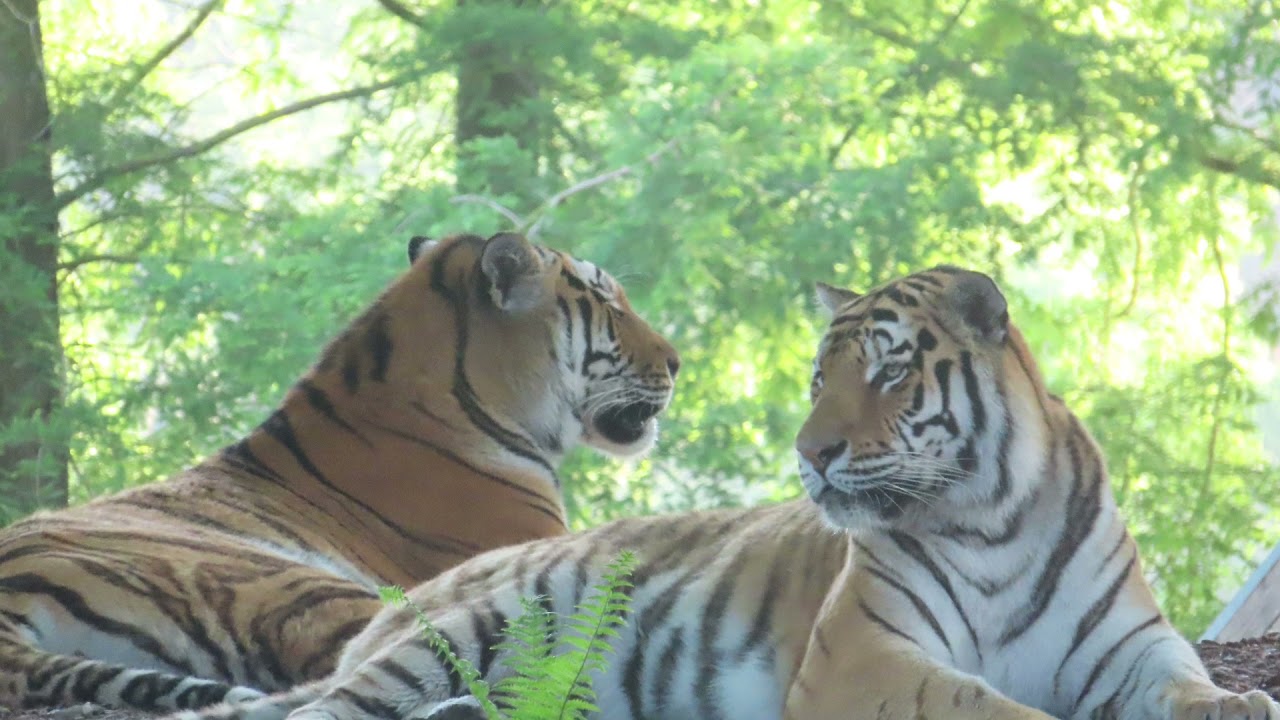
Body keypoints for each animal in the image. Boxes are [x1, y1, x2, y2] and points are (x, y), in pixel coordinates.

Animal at [174, 264, 1279, 720]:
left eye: (886, 373)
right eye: (817, 377)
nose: (811, 454)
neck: (994, 513)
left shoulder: (1130, 647)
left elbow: (1191, 685)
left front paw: (1237, 703)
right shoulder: (865, 657)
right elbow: (990, 707)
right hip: (469, 626)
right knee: (309, 717)